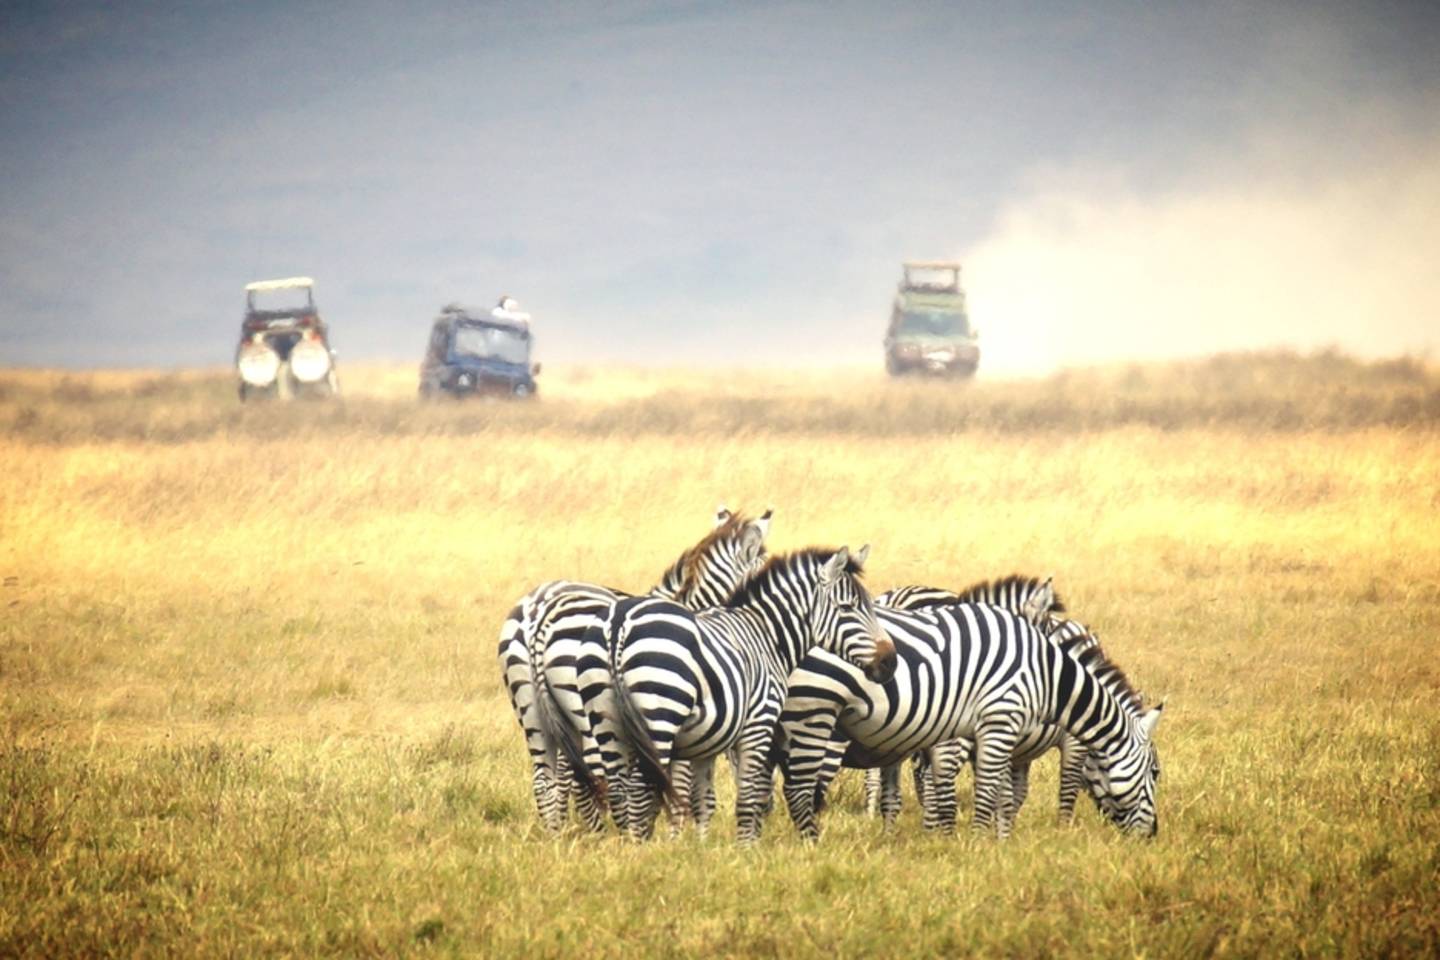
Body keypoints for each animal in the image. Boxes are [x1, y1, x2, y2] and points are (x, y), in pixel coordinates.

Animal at [590, 544, 892, 846]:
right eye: (847, 608)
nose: (890, 662)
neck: (768, 637)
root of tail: (619, 622)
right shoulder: (759, 723)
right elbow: (750, 794)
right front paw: (747, 848)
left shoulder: (707, 739)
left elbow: (704, 799)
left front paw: (700, 848)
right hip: (659, 717)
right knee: (640, 788)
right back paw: (640, 847)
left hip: (606, 722)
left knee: (619, 789)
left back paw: (629, 845)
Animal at [777, 604, 1157, 846]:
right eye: (1156, 773)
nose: (1153, 837)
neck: (1052, 678)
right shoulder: (1009, 723)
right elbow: (1020, 790)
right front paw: (982, 844)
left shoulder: (1007, 736)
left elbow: (1008, 794)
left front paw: (1001, 841)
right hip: (818, 716)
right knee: (804, 788)